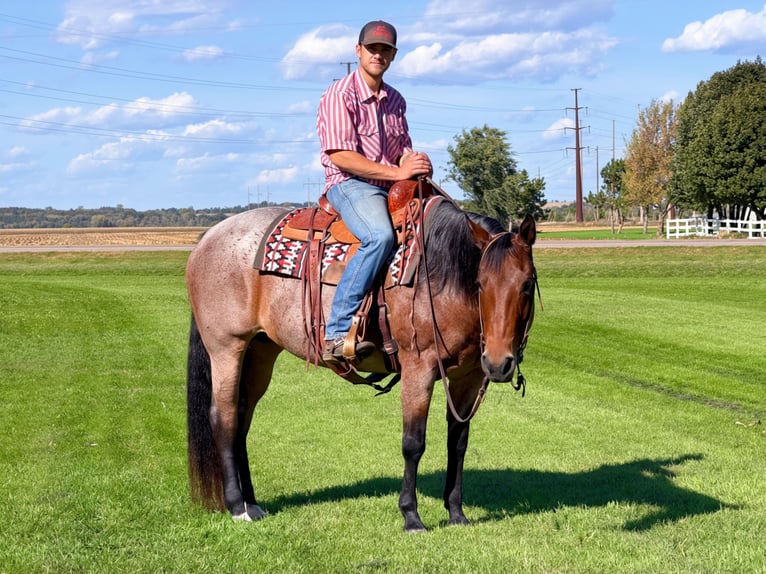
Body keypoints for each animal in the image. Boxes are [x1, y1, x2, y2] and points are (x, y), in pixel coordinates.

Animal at [185, 197, 538, 532]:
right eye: (479, 284)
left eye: (526, 285)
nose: (499, 364)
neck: (439, 277)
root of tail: (207, 238)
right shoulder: (419, 368)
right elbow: (413, 443)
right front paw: (411, 516)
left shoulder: (470, 377)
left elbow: (458, 443)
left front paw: (456, 513)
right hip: (227, 349)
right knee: (224, 418)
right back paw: (237, 507)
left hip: (260, 351)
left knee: (242, 419)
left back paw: (252, 503)